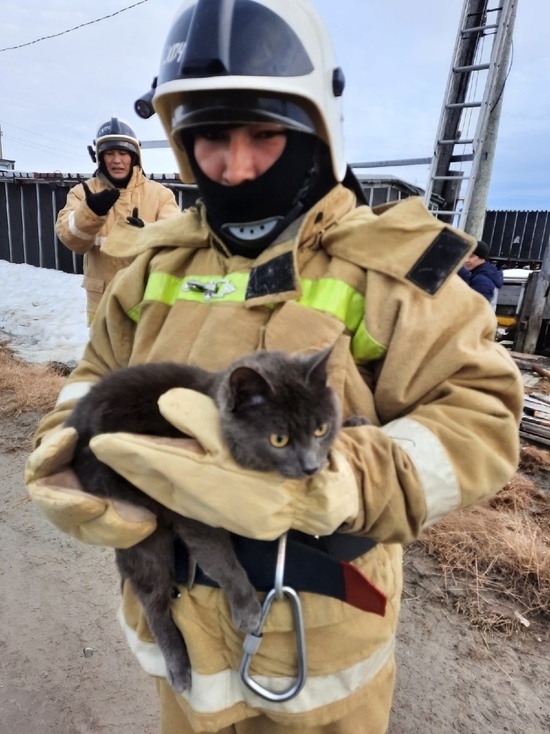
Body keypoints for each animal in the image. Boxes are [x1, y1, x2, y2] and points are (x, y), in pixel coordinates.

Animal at [67, 350, 360, 696]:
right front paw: (247, 610)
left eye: (320, 429)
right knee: (153, 602)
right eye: (279, 439)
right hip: (139, 522)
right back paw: (179, 669)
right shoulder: (191, 507)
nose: (311, 466)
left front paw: (357, 422)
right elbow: (222, 562)